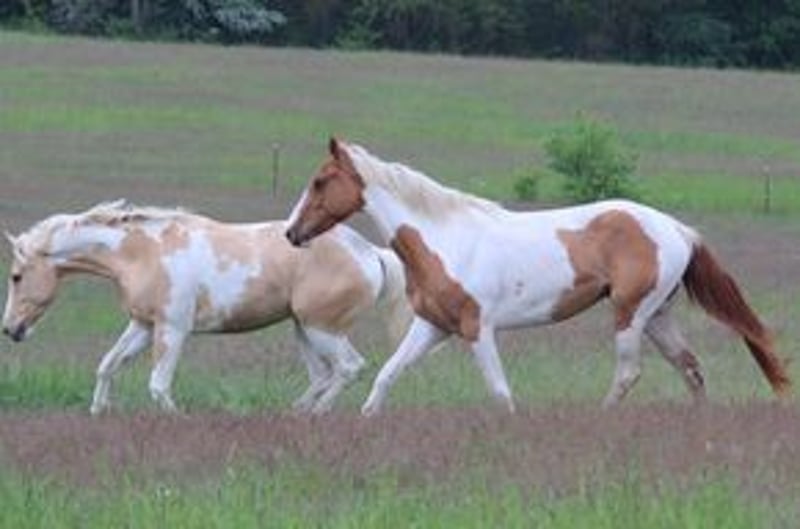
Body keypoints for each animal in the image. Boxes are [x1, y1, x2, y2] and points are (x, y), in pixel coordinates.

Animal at [2, 199, 411, 414]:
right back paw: (297, 413)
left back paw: (317, 414)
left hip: (321, 329)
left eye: (16, 276)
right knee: (323, 376)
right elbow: (107, 366)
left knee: (349, 368)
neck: (142, 254)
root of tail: (370, 253)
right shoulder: (143, 325)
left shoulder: (172, 330)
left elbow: (158, 386)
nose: (10, 329)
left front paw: (176, 420)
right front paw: (98, 412)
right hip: (303, 329)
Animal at [285, 138, 791, 416]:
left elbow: (499, 392)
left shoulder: (477, 328)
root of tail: (676, 229)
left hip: (630, 314)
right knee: (691, 369)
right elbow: (386, 376)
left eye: (320, 181)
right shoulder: (432, 326)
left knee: (630, 372)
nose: (292, 233)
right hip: (658, 316)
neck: (443, 238)